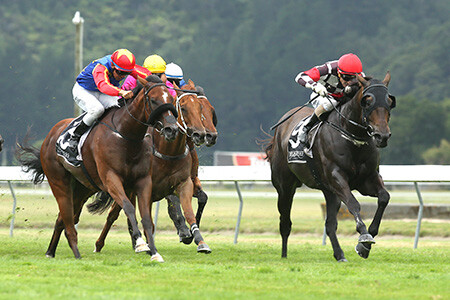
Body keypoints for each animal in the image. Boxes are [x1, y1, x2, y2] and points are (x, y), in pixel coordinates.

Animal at [17, 75, 179, 260]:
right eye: (153, 100)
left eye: (171, 99)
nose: (172, 130)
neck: (126, 135)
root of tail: (50, 136)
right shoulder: (111, 178)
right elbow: (128, 208)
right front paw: (140, 243)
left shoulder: (143, 180)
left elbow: (146, 217)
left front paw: (154, 252)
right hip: (59, 182)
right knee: (67, 219)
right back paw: (76, 253)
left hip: (82, 188)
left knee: (62, 219)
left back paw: (50, 252)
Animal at [89, 79, 214, 253]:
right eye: (183, 108)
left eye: (203, 108)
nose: (203, 135)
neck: (168, 151)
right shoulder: (149, 187)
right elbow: (159, 211)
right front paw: (182, 233)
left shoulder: (185, 181)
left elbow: (194, 205)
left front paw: (196, 238)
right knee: (115, 213)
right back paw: (104, 244)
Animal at [266, 73, 396, 262]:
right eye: (368, 101)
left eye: (389, 100)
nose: (382, 136)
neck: (352, 138)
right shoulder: (337, 177)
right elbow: (353, 204)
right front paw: (364, 237)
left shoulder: (367, 179)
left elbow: (384, 197)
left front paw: (366, 243)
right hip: (285, 187)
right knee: (285, 222)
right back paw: (284, 255)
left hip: (329, 191)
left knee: (330, 225)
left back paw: (339, 254)